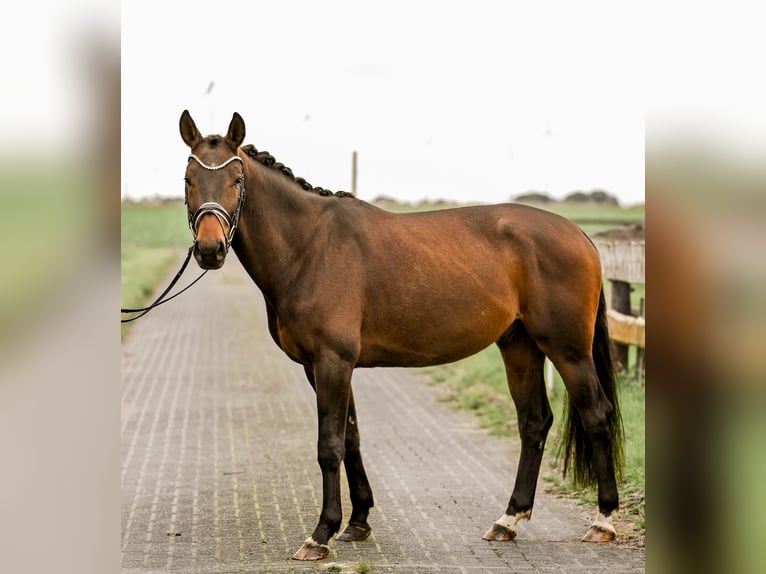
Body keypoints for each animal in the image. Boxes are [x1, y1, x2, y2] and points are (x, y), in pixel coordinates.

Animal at [178, 109, 624, 564]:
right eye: (189, 179)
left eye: (236, 180)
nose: (210, 250)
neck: (310, 246)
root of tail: (580, 235)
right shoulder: (321, 366)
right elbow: (351, 437)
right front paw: (357, 522)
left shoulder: (332, 361)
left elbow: (329, 445)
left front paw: (321, 533)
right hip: (520, 346)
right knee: (534, 422)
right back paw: (508, 520)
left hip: (568, 350)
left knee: (596, 415)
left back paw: (603, 521)